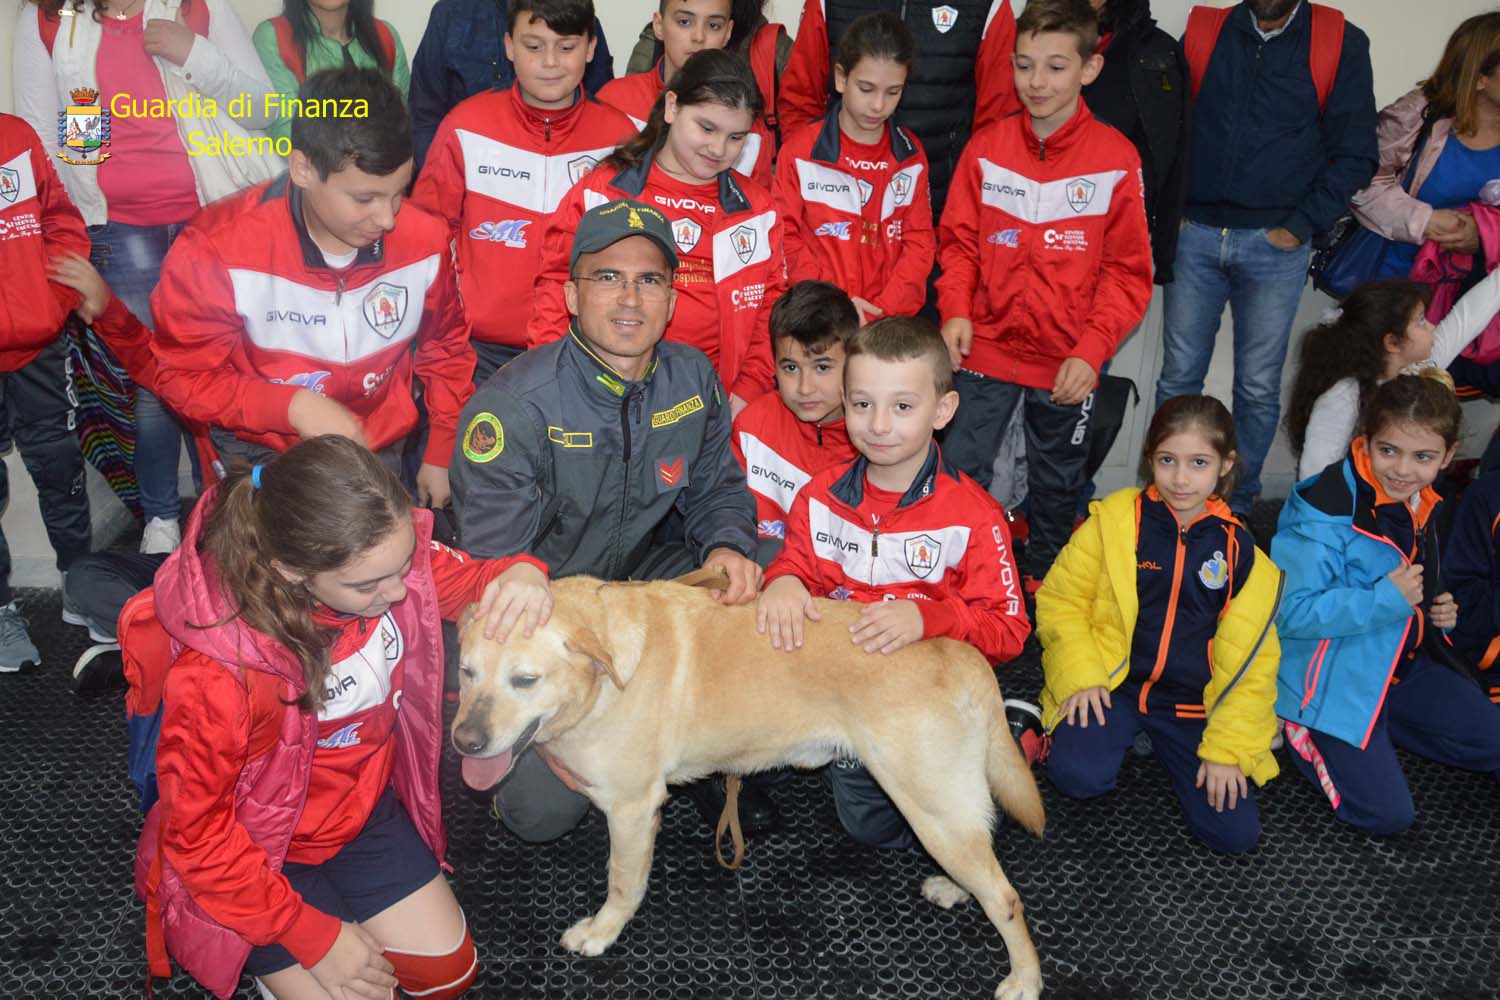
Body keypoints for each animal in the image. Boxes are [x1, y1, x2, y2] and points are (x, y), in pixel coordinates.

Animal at [452, 571, 1046, 1000]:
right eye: (465, 671)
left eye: (525, 680)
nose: (464, 742)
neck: (606, 678)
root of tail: (960, 651)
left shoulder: (631, 808)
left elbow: (621, 884)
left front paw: (602, 931)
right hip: (945, 810)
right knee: (987, 853)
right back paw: (954, 888)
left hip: (926, 804)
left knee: (1006, 898)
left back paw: (1025, 979)